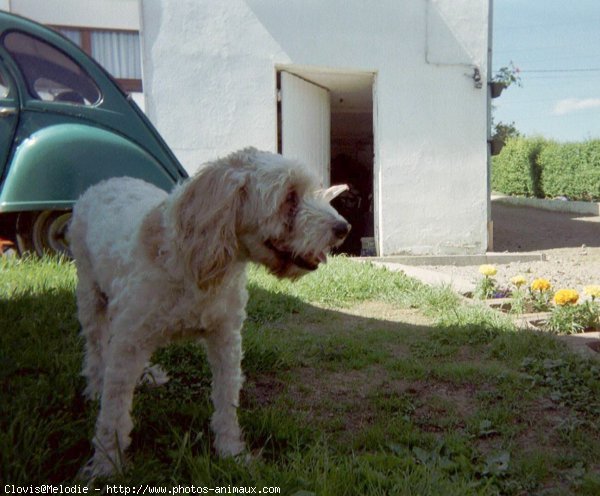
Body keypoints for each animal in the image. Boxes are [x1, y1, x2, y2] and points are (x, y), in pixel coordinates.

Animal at [69, 148, 352, 476]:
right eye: (289, 197)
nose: (343, 229)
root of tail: (105, 182)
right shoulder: (130, 341)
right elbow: (114, 411)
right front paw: (106, 465)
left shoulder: (226, 338)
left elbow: (226, 399)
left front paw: (231, 452)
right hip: (90, 297)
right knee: (96, 350)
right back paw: (94, 388)